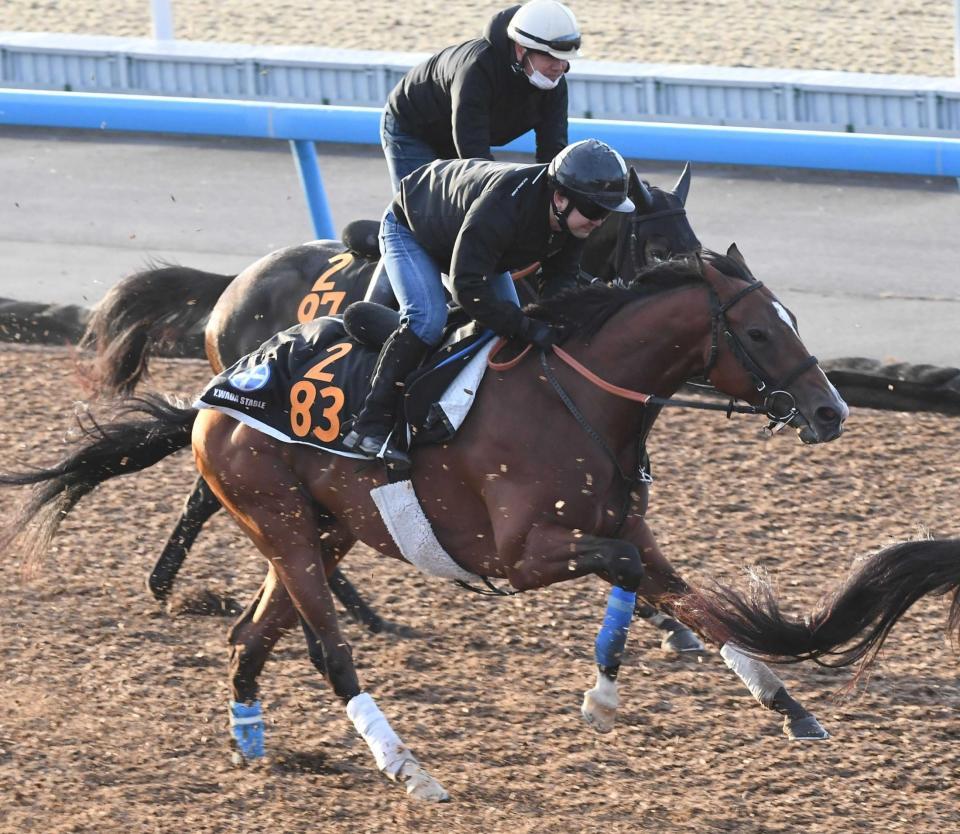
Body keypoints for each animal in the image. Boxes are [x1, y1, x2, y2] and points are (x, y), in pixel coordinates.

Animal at [3, 252, 900, 800]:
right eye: (758, 330)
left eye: (793, 319)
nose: (831, 411)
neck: (576, 397)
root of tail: (214, 395)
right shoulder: (523, 555)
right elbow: (632, 578)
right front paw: (603, 695)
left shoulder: (631, 531)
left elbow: (690, 601)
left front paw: (789, 706)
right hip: (280, 523)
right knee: (329, 654)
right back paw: (409, 768)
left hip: (321, 531)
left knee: (249, 640)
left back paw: (254, 747)